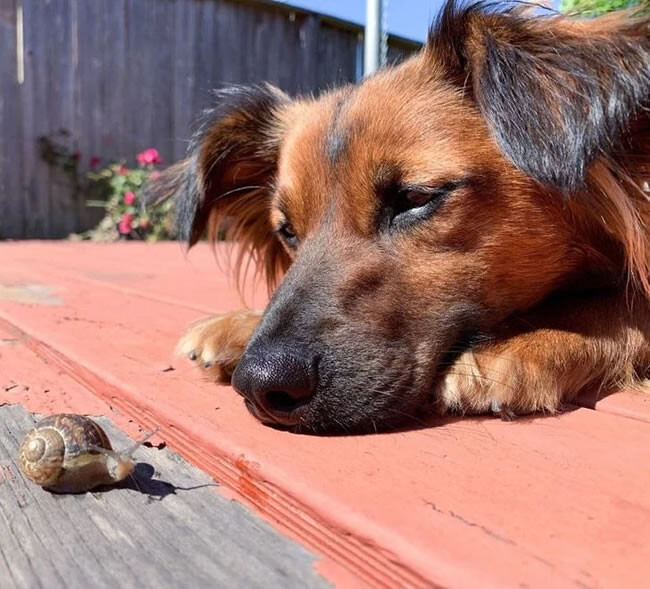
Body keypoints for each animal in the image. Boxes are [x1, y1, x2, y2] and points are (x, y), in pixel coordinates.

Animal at [157, 0, 648, 432]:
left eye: (414, 198)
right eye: (289, 232)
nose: (261, 384)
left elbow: (624, 306)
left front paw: (523, 344)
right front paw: (240, 323)